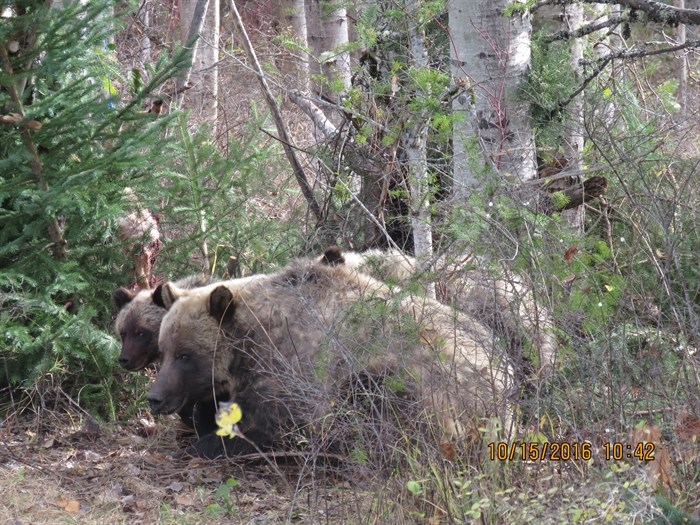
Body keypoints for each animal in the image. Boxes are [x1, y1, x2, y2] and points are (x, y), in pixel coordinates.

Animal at [149, 256, 508, 456]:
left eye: (185, 355)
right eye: (163, 350)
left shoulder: (294, 367)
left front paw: (209, 443)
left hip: (426, 381)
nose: (155, 397)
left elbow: (268, 423)